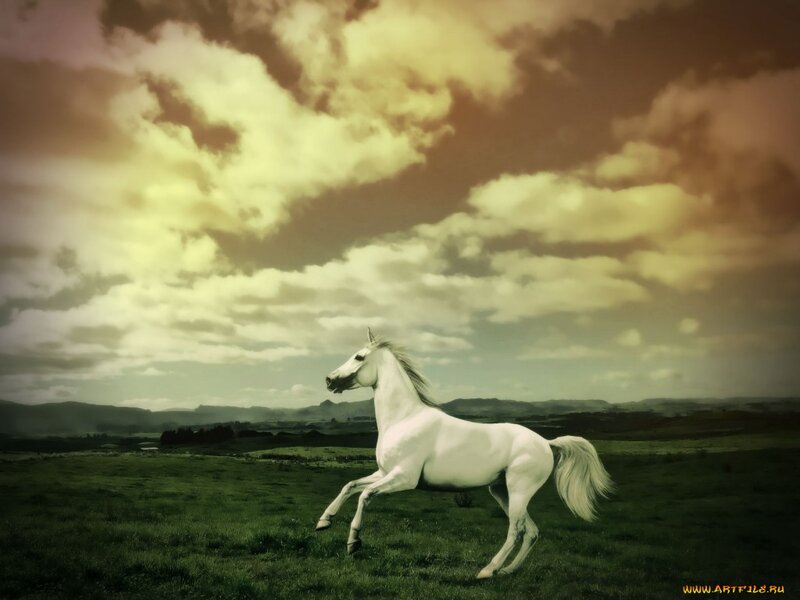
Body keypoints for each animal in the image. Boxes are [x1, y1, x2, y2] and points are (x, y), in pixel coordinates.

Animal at [315, 328, 613, 579]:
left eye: (359, 356)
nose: (329, 380)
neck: (404, 419)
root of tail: (546, 442)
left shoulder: (404, 478)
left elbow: (365, 495)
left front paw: (353, 543)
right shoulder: (385, 472)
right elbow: (350, 485)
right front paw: (323, 522)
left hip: (519, 489)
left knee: (515, 530)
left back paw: (486, 571)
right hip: (502, 491)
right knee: (531, 532)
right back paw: (506, 572)